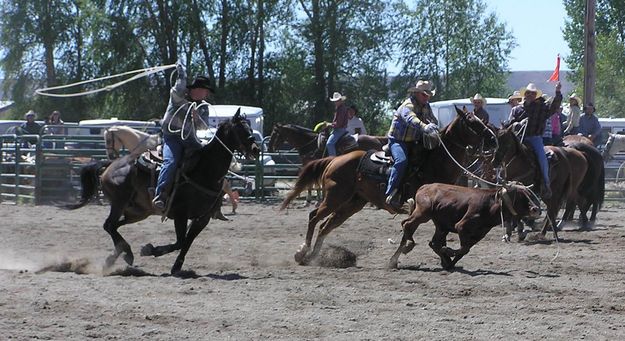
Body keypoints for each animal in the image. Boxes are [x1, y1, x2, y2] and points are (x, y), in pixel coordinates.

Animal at [67, 112, 260, 274]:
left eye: (250, 128)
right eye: (240, 129)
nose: (256, 149)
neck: (205, 170)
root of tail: (111, 165)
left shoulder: (202, 218)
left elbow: (187, 242)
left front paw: (176, 266)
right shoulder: (181, 214)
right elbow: (180, 241)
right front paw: (150, 250)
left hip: (138, 211)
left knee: (114, 226)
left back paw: (115, 258)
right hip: (119, 202)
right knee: (108, 225)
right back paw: (127, 254)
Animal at [280, 107, 494, 264]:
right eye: (472, 121)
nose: (493, 138)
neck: (433, 161)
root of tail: (334, 159)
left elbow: (434, 235)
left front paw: (443, 256)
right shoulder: (422, 209)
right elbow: (412, 231)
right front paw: (403, 253)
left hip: (352, 203)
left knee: (326, 225)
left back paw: (313, 256)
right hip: (335, 197)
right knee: (314, 217)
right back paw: (302, 252)